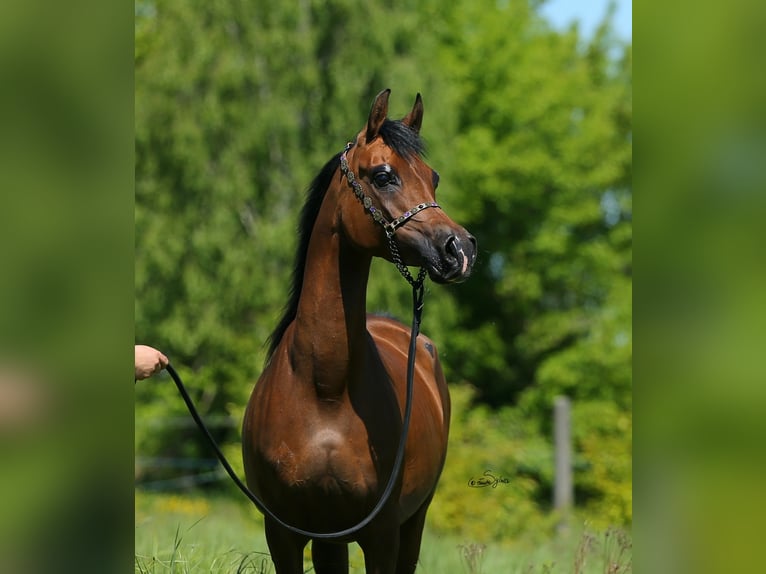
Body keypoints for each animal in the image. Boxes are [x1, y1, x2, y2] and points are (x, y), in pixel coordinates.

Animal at [242, 89, 476, 574]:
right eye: (384, 176)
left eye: (434, 177)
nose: (461, 250)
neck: (324, 388)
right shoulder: (284, 534)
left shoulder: (381, 534)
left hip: (414, 523)